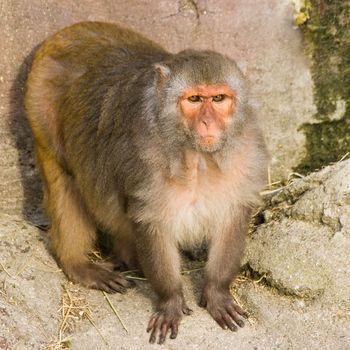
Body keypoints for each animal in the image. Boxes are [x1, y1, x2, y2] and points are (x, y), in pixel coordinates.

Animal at [26, 22, 268, 344]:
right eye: (194, 100)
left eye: (218, 99)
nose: (207, 123)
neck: (197, 158)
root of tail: (67, 32)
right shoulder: (146, 166)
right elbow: (154, 225)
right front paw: (170, 300)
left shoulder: (246, 155)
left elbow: (231, 218)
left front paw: (217, 292)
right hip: (39, 106)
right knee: (64, 178)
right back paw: (78, 264)